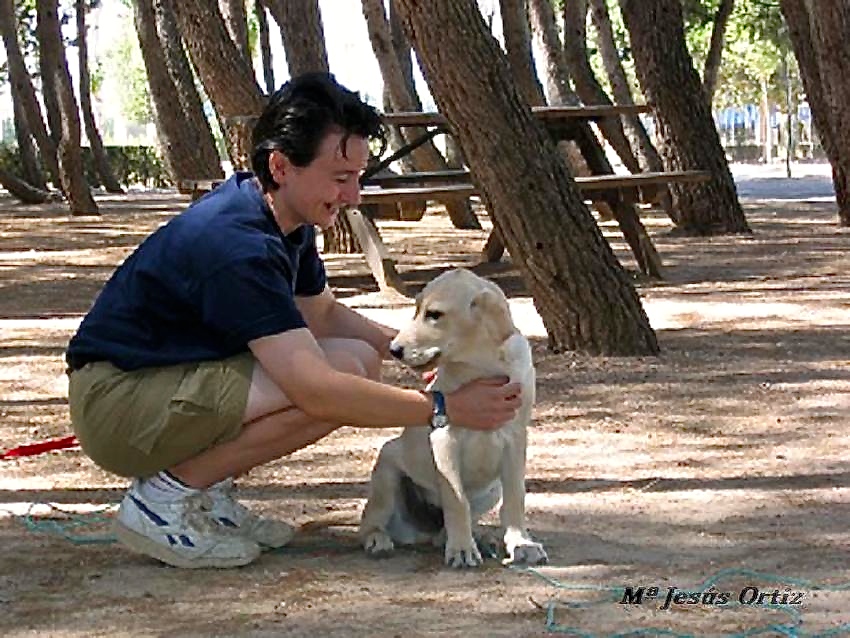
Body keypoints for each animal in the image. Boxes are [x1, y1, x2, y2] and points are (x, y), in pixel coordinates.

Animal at [356, 268, 544, 568]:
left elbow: (516, 497)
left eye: (434, 314)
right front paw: (462, 549)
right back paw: (379, 539)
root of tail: (424, 531)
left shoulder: (516, 438)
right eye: (416, 309)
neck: (483, 367)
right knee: (371, 521)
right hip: (387, 468)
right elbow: (457, 500)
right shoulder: (444, 437)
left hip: (492, 489)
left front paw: (521, 543)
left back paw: (477, 537)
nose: (394, 349)